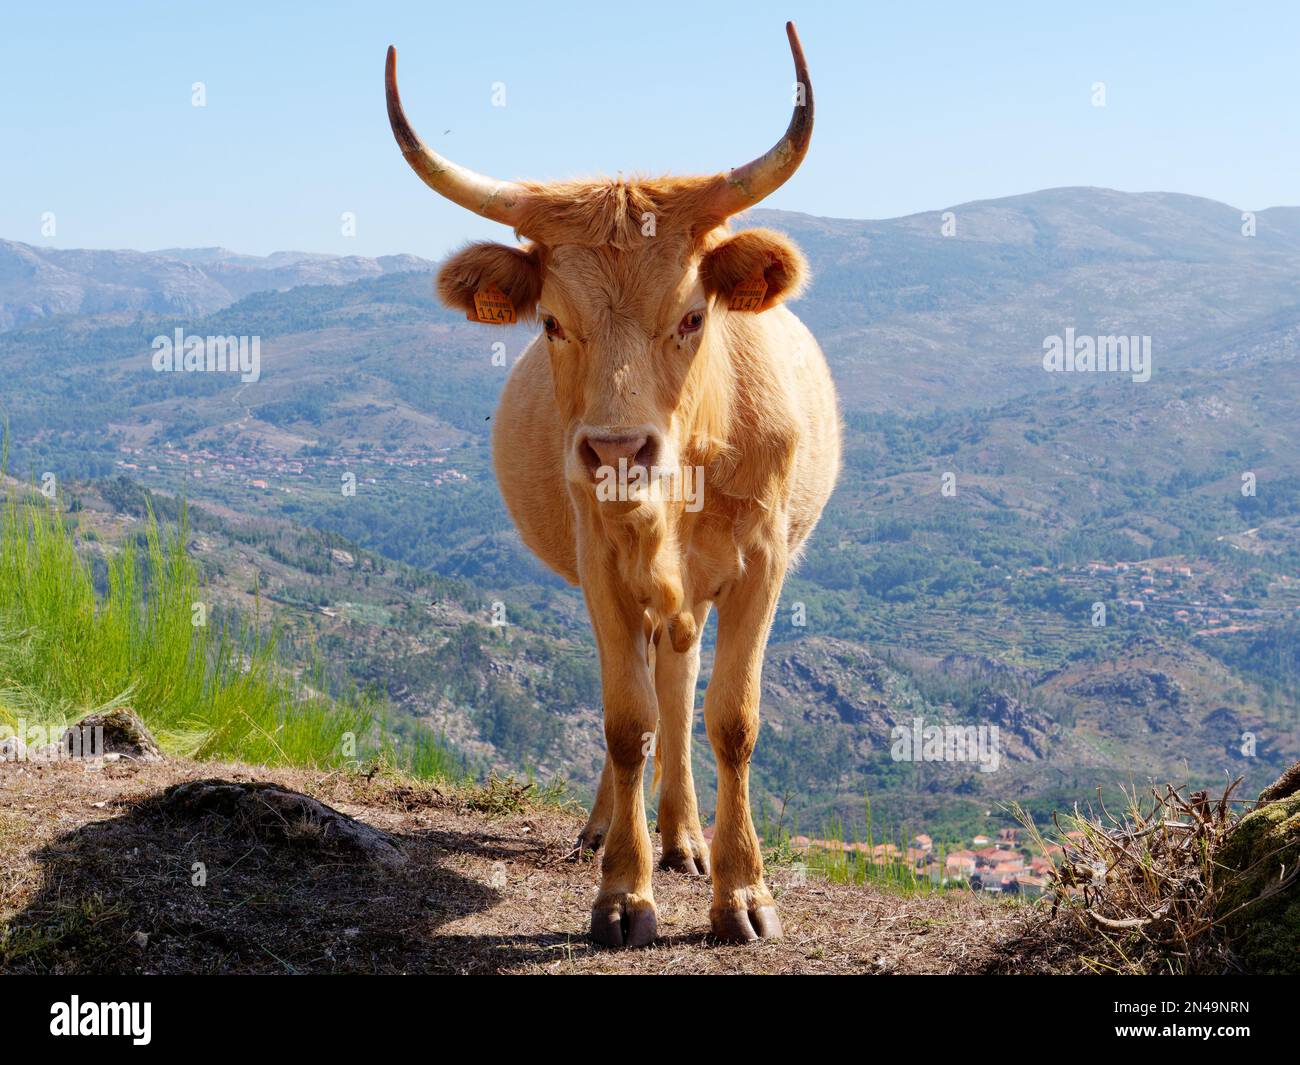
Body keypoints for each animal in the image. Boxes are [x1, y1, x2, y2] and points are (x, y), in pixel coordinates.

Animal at [384, 20, 842, 946]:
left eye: (693, 316)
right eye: (553, 321)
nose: (620, 449)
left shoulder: (763, 562)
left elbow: (732, 719)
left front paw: (742, 891)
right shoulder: (601, 562)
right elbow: (627, 721)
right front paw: (624, 891)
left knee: (682, 673)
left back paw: (685, 835)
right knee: (650, 691)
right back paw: (611, 829)